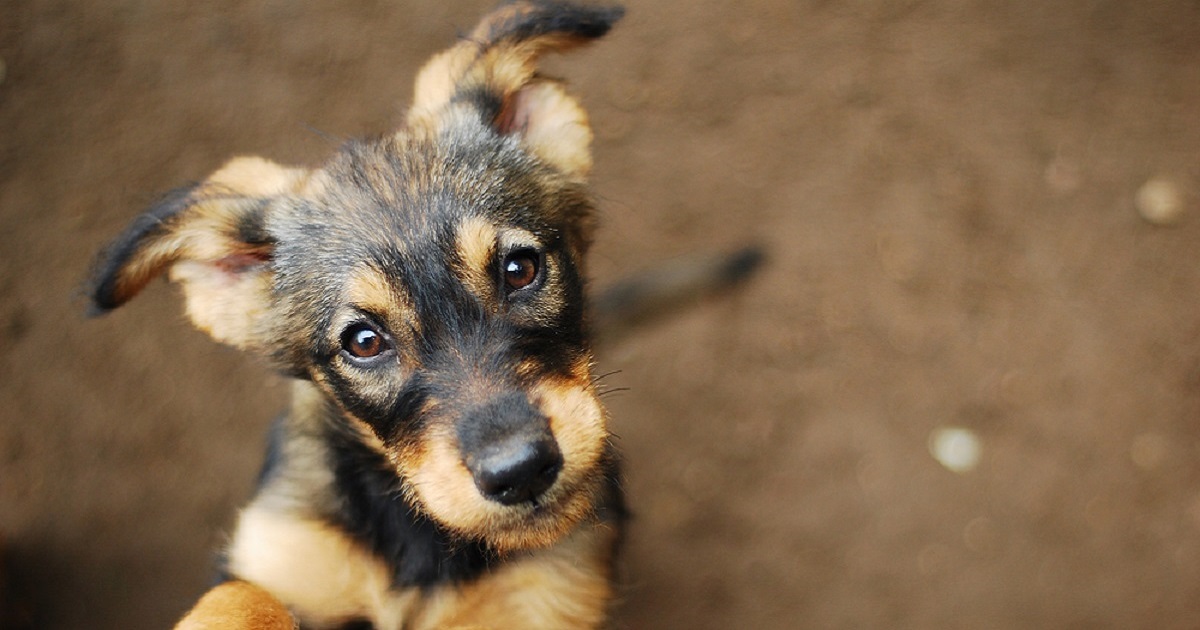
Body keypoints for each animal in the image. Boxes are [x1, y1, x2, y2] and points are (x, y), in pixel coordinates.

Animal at [87, 2, 758, 624]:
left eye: (520, 269)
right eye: (362, 342)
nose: (520, 472)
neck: (425, 542)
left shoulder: (541, 599)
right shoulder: (283, 549)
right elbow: (239, 596)